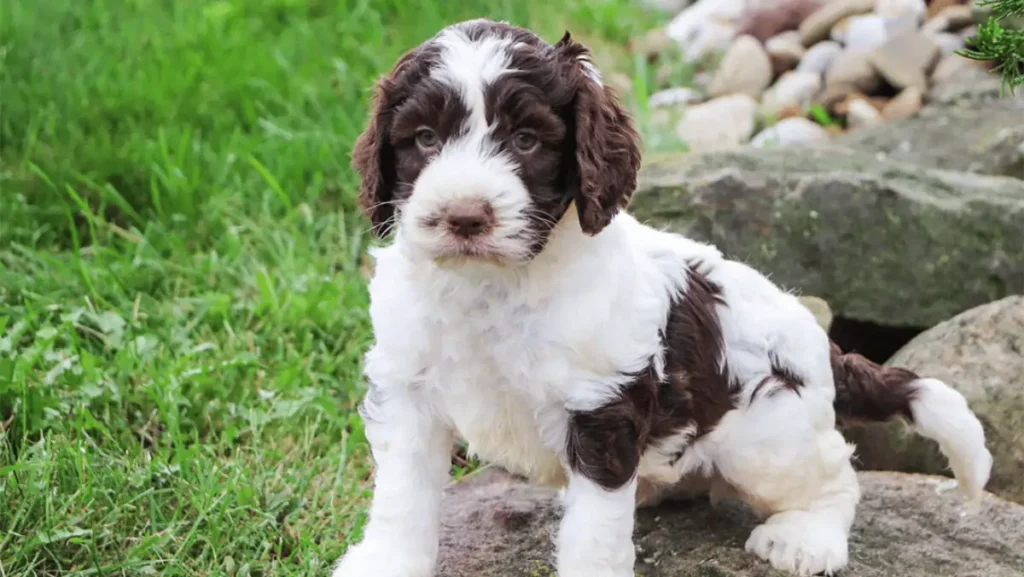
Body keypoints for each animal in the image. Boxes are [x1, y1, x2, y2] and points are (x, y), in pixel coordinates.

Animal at [335, 18, 991, 577]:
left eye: (525, 140)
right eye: (424, 138)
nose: (465, 217)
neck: (492, 285)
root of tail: (822, 343)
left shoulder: (602, 405)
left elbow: (594, 530)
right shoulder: (407, 389)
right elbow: (402, 496)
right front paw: (386, 564)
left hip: (769, 436)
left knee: (835, 474)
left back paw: (806, 539)